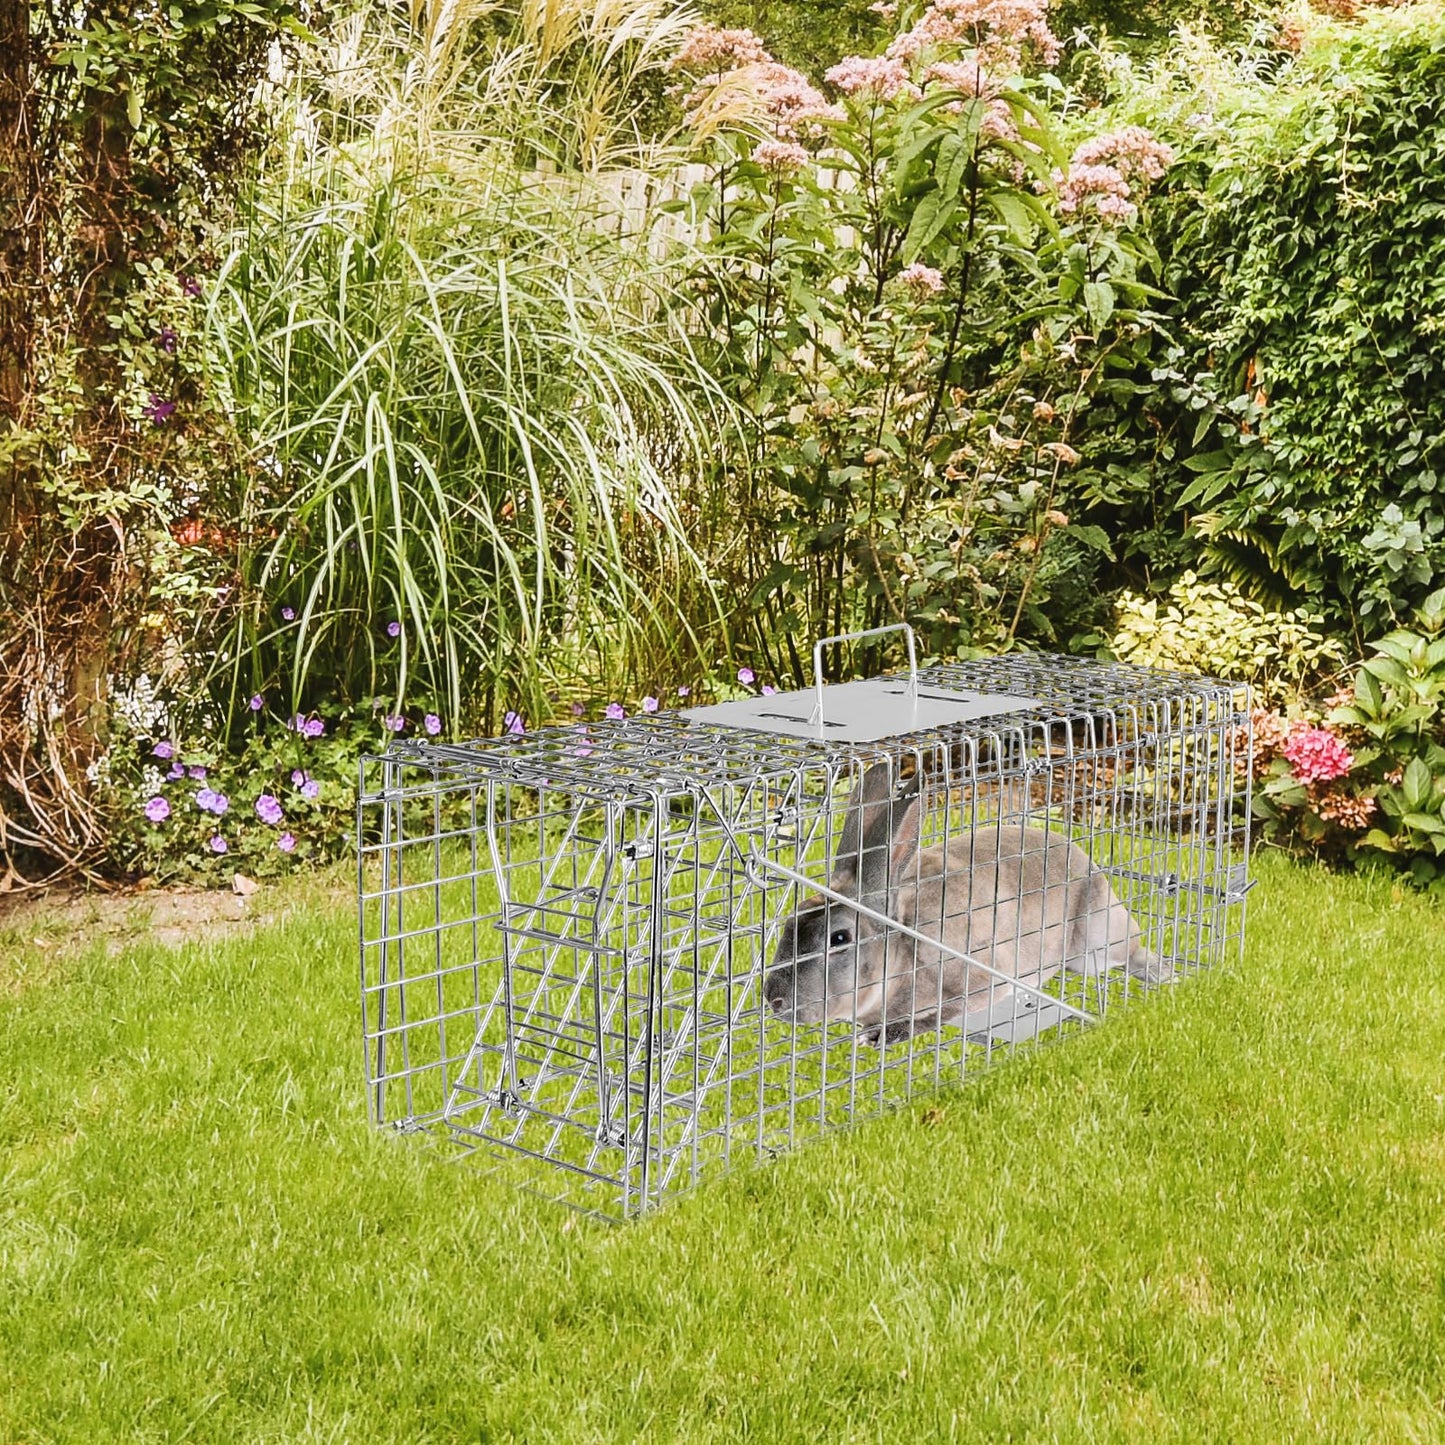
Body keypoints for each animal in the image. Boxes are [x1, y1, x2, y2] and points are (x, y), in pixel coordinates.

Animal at [762, 762, 1171, 1046]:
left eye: (840, 939)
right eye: (789, 923)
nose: (773, 1000)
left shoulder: (979, 978)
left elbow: (946, 1011)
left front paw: (885, 1036)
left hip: (1094, 944)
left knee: (1130, 952)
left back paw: (1163, 973)